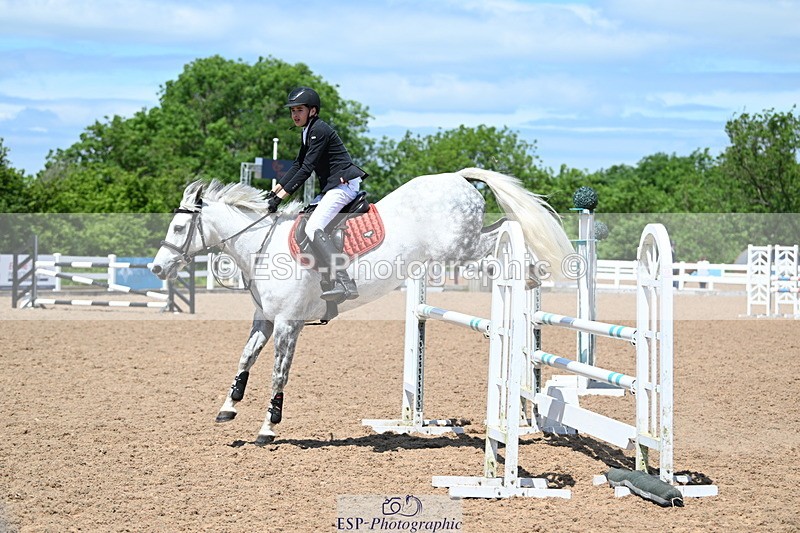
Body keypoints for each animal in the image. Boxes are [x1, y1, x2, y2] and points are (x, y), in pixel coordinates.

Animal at [151, 168, 574, 444]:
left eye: (177, 228)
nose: (157, 267)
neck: (262, 248)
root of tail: (457, 176)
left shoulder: (288, 324)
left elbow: (278, 374)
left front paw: (268, 427)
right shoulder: (265, 320)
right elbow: (244, 359)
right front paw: (228, 406)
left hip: (460, 248)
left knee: (505, 233)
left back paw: (531, 271)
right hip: (457, 248)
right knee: (501, 230)